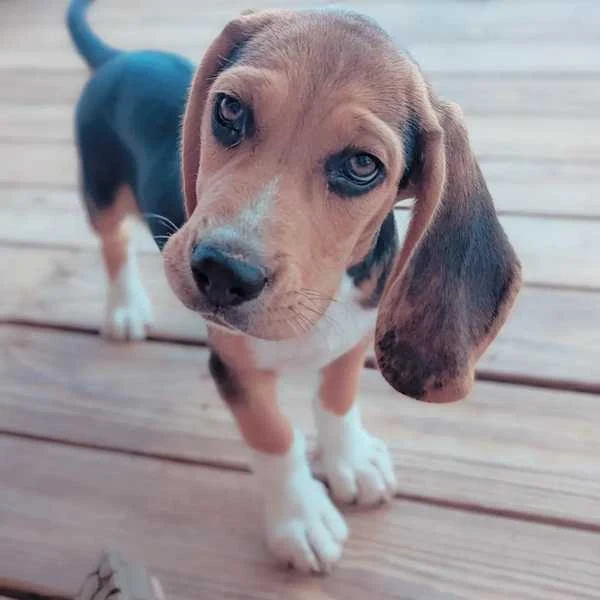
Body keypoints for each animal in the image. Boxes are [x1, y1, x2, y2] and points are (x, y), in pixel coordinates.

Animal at [69, 0, 520, 572]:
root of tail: (119, 58)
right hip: (102, 190)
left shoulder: (351, 339)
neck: (320, 299)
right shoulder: (236, 367)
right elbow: (274, 436)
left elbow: (337, 400)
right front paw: (301, 518)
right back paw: (125, 306)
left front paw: (349, 459)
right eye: (230, 110)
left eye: (362, 165)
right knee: (114, 247)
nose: (223, 272)